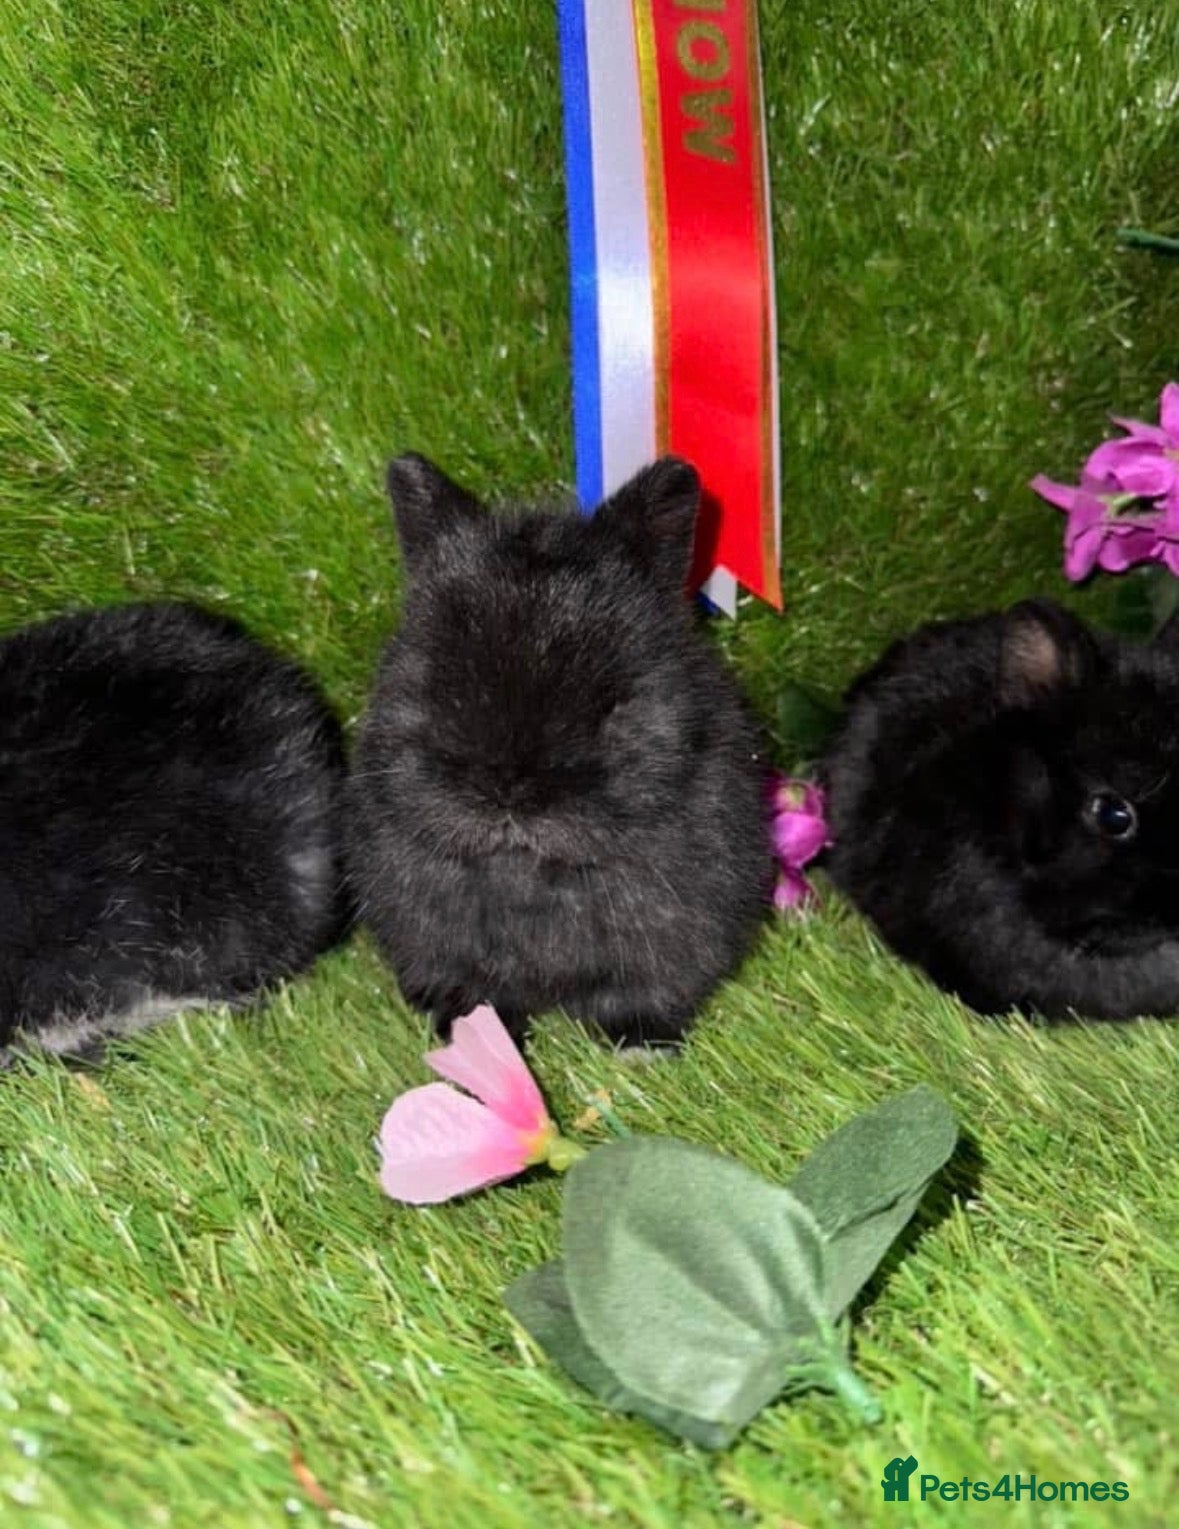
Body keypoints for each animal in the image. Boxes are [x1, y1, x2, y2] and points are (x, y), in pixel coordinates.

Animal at [346, 453, 774, 1045]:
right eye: (438, 685)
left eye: (611, 704)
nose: (509, 793)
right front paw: (467, 1039)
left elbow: (644, 994)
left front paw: (641, 1046)